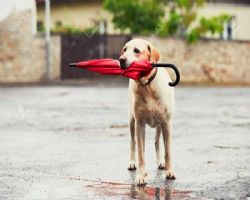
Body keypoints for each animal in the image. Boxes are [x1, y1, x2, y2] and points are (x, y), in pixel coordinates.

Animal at [119, 39, 176, 186]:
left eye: (137, 50)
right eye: (124, 49)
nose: (121, 59)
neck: (147, 86)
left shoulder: (166, 123)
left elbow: (168, 151)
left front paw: (169, 171)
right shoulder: (140, 124)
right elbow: (141, 153)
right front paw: (141, 176)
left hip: (160, 124)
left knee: (157, 141)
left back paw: (161, 162)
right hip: (132, 121)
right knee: (133, 142)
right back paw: (132, 163)